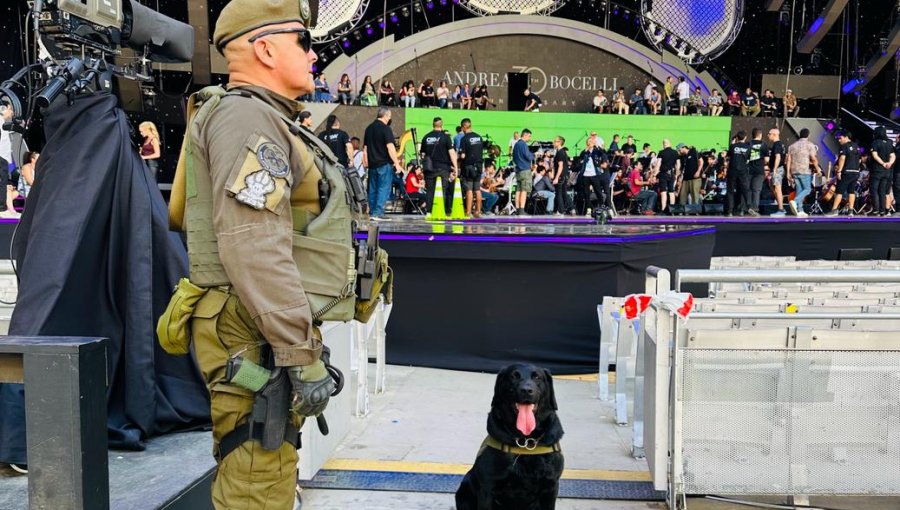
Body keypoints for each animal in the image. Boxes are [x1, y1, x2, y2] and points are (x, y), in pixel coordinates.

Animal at [458, 362, 564, 510]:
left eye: (537, 377)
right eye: (514, 376)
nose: (526, 390)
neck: (526, 441)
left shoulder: (551, 487)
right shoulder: (487, 488)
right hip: (465, 485)